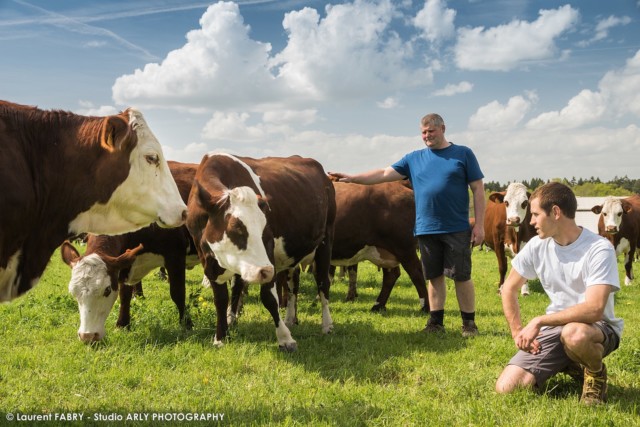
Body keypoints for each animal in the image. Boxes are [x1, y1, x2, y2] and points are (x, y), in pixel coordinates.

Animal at [60, 162, 200, 342]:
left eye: (106, 290)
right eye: (73, 292)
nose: (87, 336)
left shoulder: (175, 254)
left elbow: (177, 292)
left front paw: (186, 323)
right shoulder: (124, 260)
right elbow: (124, 294)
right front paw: (123, 323)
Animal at [185, 153, 336, 352]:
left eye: (265, 230)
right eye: (235, 228)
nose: (265, 271)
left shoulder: (269, 250)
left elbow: (269, 298)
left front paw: (285, 338)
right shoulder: (208, 259)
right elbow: (221, 299)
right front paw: (220, 337)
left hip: (326, 241)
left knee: (323, 284)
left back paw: (327, 325)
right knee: (291, 285)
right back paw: (289, 318)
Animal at [330, 179, 430, 312]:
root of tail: (397, 183)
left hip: (404, 248)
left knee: (416, 273)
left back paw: (426, 307)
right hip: (386, 251)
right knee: (391, 275)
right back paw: (378, 305)